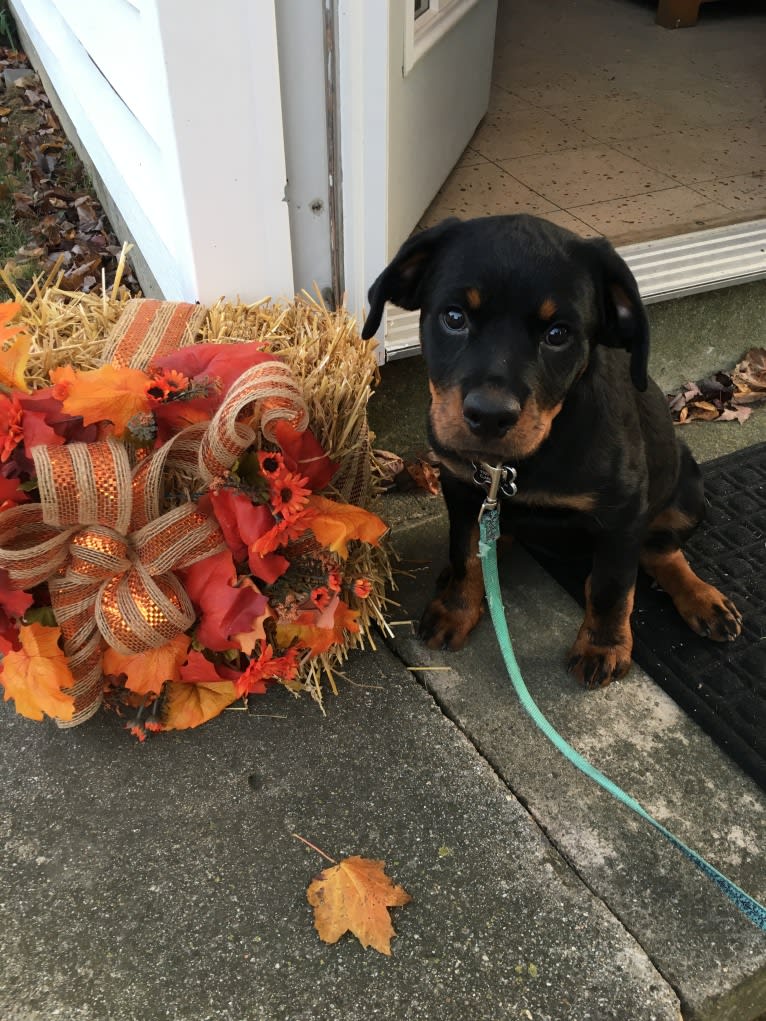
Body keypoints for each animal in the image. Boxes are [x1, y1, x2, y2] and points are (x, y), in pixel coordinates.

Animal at [363, 215, 743, 690]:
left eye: (558, 334)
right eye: (453, 317)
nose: (489, 416)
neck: (515, 465)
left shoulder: (623, 513)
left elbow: (611, 587)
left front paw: (603, 647)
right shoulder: (462, 489)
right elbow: (466, 553)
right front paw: (456, 610)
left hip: (688, 492)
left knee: (660, 551)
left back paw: (703, 599)